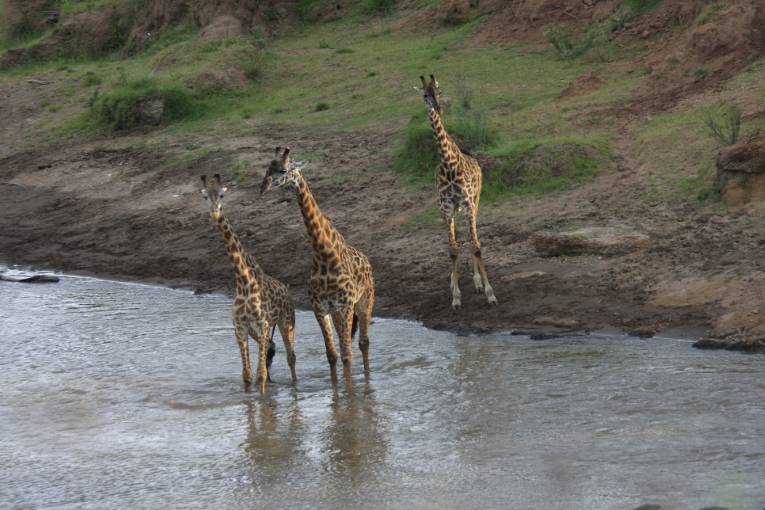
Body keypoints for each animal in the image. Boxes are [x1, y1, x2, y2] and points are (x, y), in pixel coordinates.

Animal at [198, 172, 296, 394]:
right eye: (205, 196)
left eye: (222, 195)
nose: (215, 212)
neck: (243, 280)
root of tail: (286, 290)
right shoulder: (240, 329)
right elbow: (247, 376)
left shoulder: (263, 324)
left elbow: (259, 376)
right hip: (260, 332)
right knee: (272, 348)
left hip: (285, 321)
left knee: (290, 356)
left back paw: (295, 386)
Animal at [414, 73, 498, 308]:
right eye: (425, 94)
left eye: (438, 91)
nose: (438, 107)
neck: (449, 165)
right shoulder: (446, 208)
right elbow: (452, 250)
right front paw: (456, 296)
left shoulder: (468, 203)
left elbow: (476, 245)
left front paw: (490, 293)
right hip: (453, 211)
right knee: (458, 239)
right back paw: (456, 282)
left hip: (475, 202)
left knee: (472, 238)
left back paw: (478, 282)